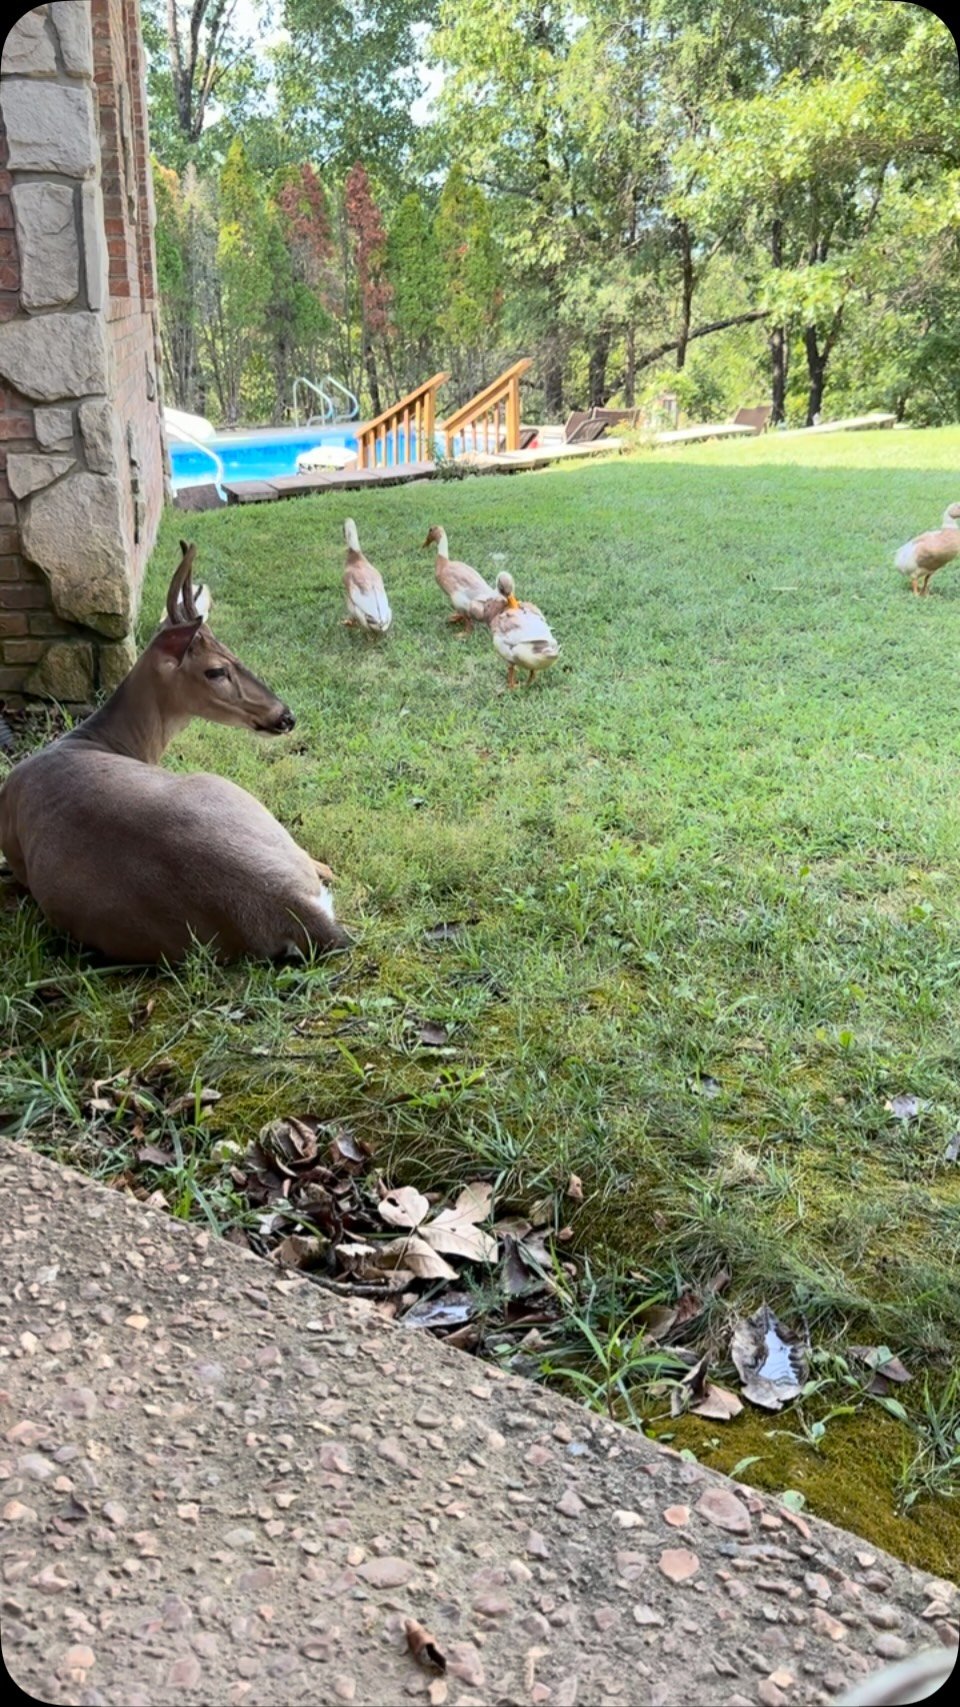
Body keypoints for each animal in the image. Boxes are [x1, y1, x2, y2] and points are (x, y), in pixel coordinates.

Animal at [0, 542, 348, 965]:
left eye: (233, 652)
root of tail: (297, 910)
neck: (97, 737)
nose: (286, 716)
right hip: (226, 787)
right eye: (215, 670)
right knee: (323, 866)